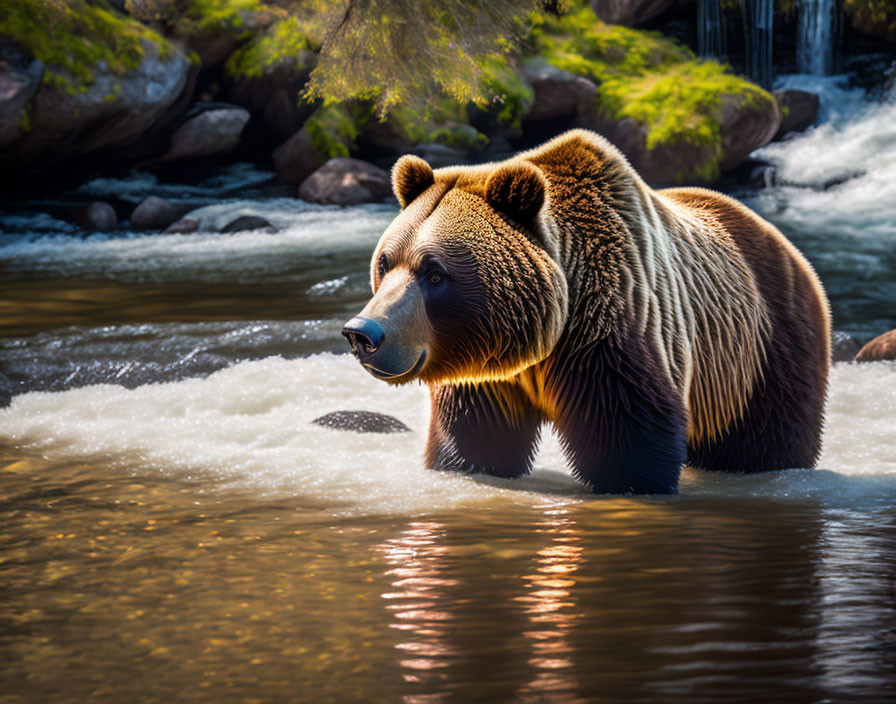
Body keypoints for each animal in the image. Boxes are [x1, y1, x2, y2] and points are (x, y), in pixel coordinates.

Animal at [344, 132, 832, 496]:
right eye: (386, 261)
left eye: (434, 272)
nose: (363, 333)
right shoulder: (484, 375)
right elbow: (475, 441)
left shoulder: (615, 335)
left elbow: (630, 443)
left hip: (762, 348)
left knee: (767, 439)